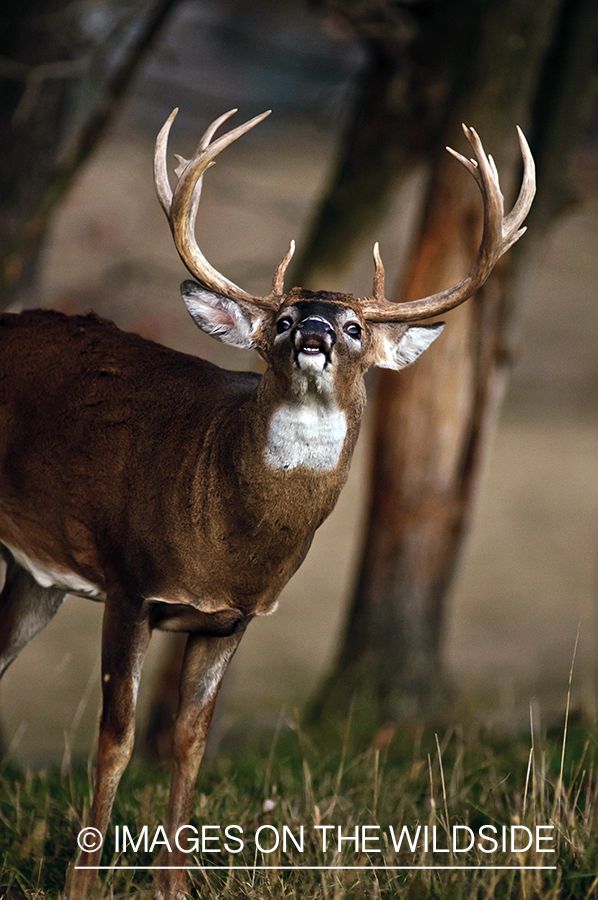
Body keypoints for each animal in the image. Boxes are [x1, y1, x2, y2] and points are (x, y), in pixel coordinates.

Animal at [0, 103, 536, 892]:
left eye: (353, 326)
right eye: (281, 320)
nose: (312, 332)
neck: (224, 536)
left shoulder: (230, 620)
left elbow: (189, 743)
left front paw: (175, 886)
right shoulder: (130, 581)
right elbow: (116, 740)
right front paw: (81, 885)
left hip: (35, 576)